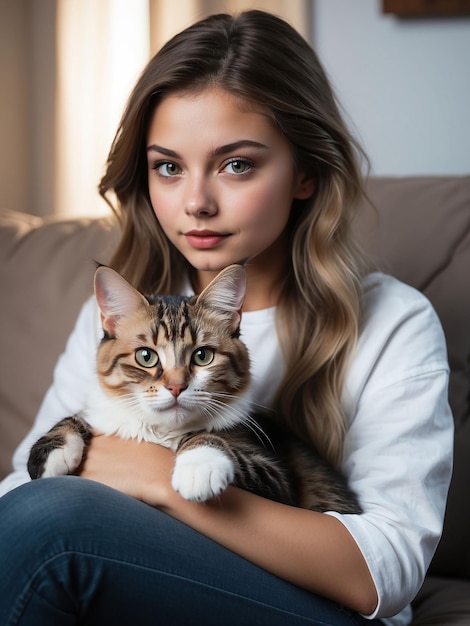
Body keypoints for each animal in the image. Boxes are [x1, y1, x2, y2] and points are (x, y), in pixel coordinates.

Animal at [27, 264, 362, 512]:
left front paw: (199, 466)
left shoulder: (278, 478)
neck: (161, 433)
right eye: (146, 356)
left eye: (203, 356)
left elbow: (200, 435)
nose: (177, 387)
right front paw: (51, 455)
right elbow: (75, 417)